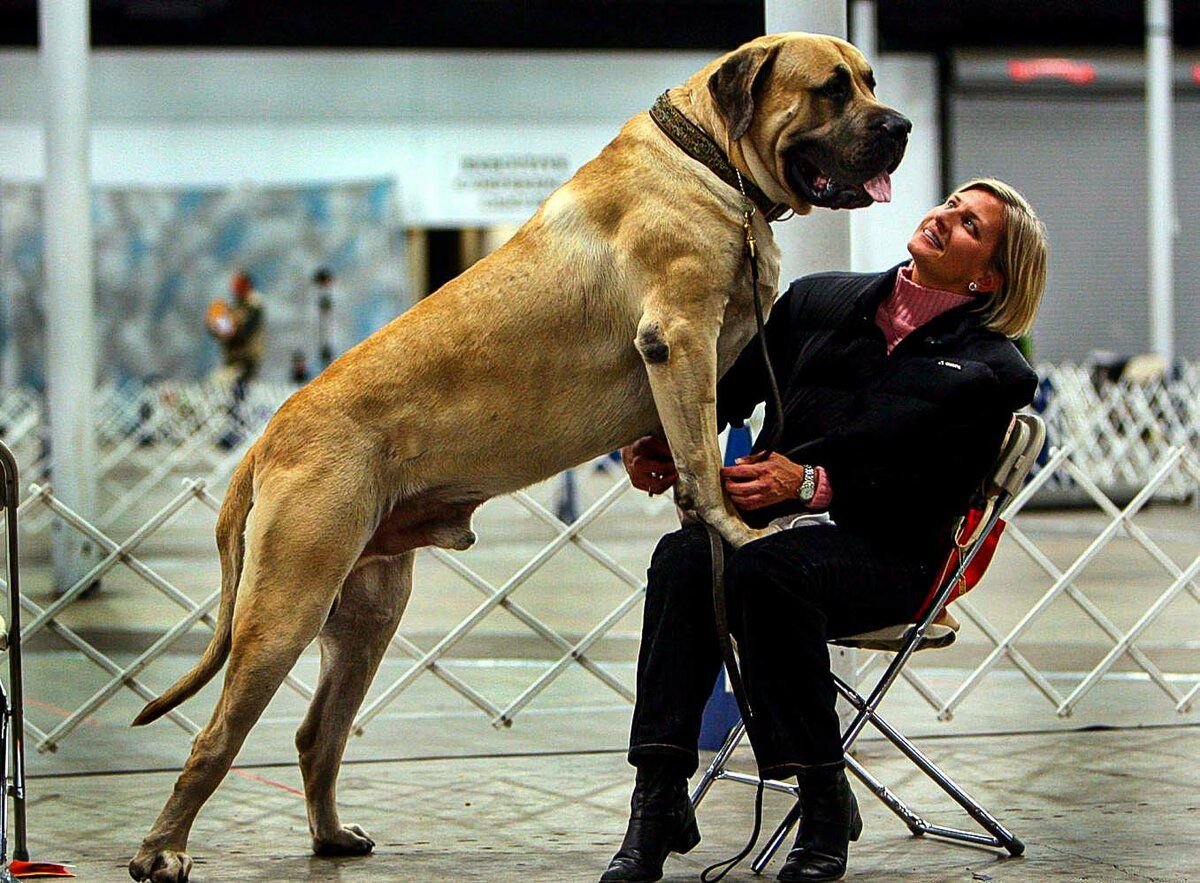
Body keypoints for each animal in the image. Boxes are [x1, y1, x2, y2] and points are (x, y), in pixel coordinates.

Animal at [126, 31, 902, 878]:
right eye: (832, 89)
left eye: (871, 80)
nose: (898, 125)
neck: (708, 159)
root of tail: (268, 434)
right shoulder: (681, 337)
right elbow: (699, 453)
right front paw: (733, 526)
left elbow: (687, 448)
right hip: (284, 607)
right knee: (215, 737)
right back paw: (161, 850)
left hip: (367, 614)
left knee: (317, 732)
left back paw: (330, 835)